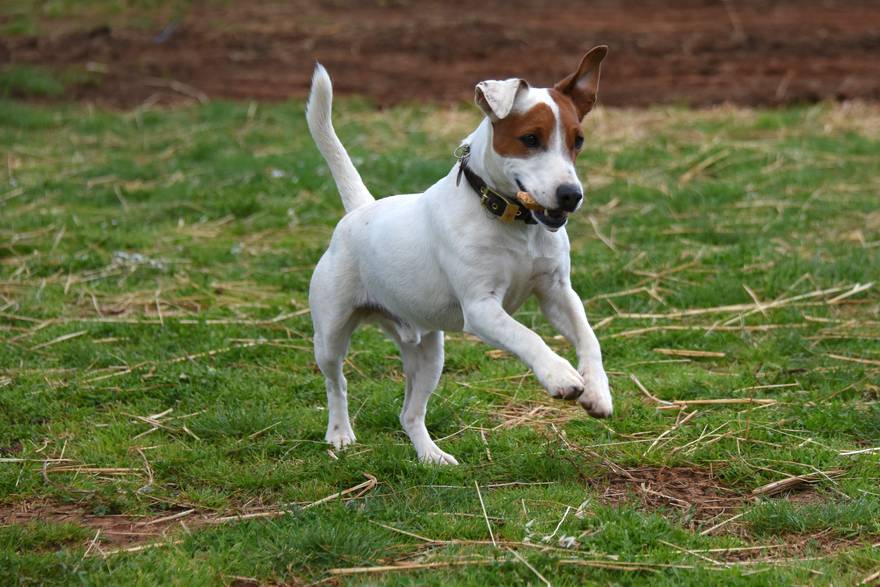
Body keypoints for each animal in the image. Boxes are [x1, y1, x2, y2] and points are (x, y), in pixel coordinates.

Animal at [304, 48, 612, 466]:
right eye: (530, 139)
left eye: (578, 141)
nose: (571, 195)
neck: (512, 222)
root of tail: (360, 210)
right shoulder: (481, 308)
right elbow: (527, 336)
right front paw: (559, 375)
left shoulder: (558, 294)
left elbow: (588, 338)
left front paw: (597, 391)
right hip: (331, 336)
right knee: (337, 383)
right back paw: (339, 433)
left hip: (429, 355)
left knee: (409, 414)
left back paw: (431, 456)